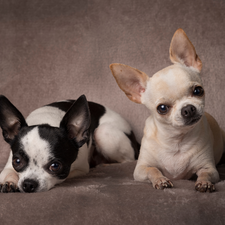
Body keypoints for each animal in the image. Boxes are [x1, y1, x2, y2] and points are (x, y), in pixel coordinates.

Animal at [0, 94, 139, 192]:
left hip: (103, 133)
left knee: (128, 160)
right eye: (17, 161)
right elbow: (8, 172)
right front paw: (8, 181)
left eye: (55, 166)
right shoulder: (10, 164)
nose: (28, 184)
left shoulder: (80, 169)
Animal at [110, 28, 225, 192]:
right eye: (162, 108)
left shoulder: (209, 168)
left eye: (198, 91)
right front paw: (160, 180)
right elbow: (153, 170)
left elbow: (205, 174)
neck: (175, 140)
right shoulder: (140, 169)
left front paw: (204, 183)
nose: (188, 109)